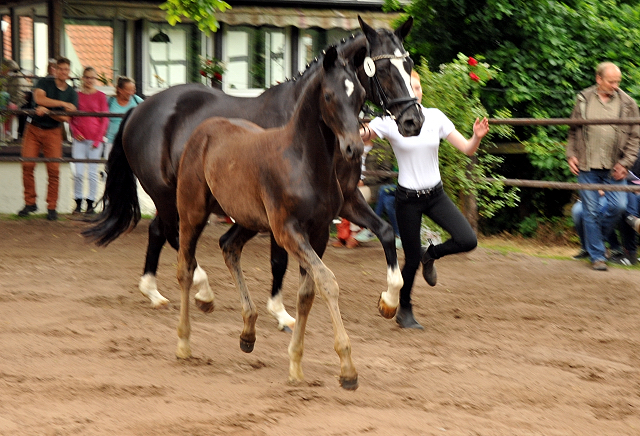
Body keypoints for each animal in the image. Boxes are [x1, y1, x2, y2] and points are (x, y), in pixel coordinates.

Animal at [85, 17, 424, 328]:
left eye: (408, 64)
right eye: (383, 68)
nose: (414, 121)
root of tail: (139, 109)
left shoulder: (347, 200)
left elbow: (385, 231)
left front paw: (389, 301)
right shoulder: (282, 213)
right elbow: (279, 259)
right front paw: (281, 312)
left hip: (175, 198)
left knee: (159, 230)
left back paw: (153, 291)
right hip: (169, 194)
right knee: (173, 234)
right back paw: (202, 291)